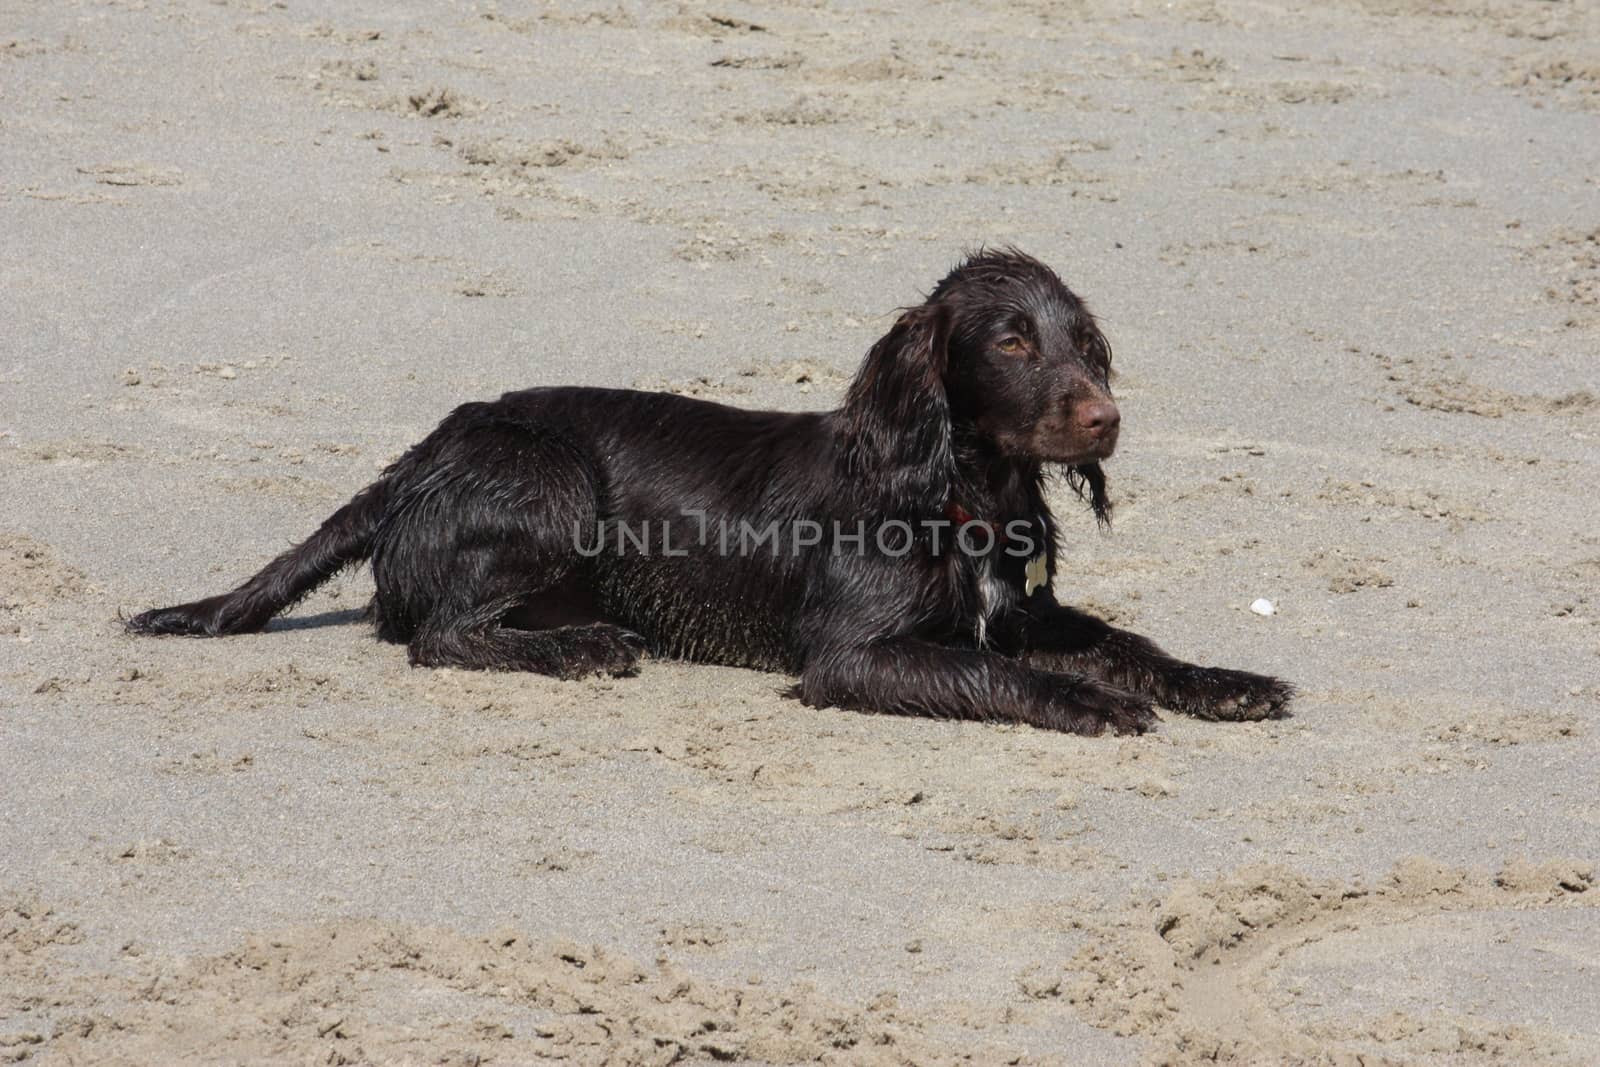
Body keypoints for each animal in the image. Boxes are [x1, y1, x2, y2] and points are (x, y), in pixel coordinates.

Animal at [131, 249, 1292, 735]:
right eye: (1011, 341)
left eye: (1086, 343)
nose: (1105, 418)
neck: (958, 490)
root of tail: (415, 456)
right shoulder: (850, 654)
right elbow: (1000, 673)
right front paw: (1094, 702)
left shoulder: (1023, 611)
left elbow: (1125, 640)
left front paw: (1221, 680)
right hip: (551, 480)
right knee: (441, 632)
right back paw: (580, 646)